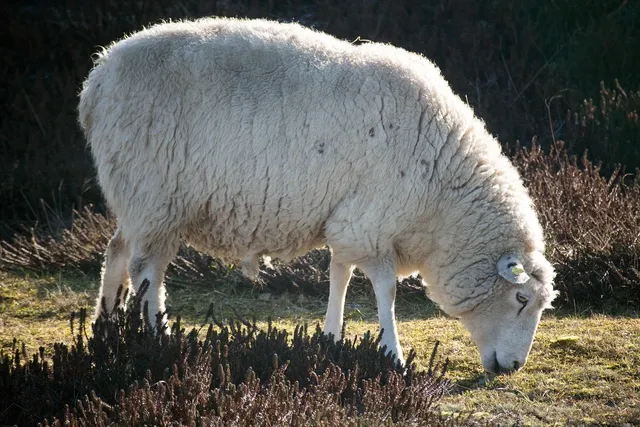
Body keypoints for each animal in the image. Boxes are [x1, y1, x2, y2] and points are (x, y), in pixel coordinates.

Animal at [79, 17, 557, 373]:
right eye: (521, 299)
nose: (514, 367)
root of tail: (96, 80)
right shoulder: (371, 223)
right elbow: (385, 290)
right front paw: (393, 355)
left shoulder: (347, 222)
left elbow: (338, 275)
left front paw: (332, 337)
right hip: (154, 195)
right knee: (147, 270)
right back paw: (156, 339)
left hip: (138, 198)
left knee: (117, 250)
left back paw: (108, 330)